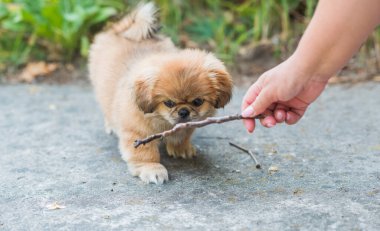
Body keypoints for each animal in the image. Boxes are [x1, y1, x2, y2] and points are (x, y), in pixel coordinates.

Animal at [88, 2, 232, 184]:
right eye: (168, 103)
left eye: (198, 102)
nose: (183, 111)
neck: (163, 121)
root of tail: (121, 29)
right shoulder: (137, 133)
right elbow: (146, 154)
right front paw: (152, 169)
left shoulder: (187, 126)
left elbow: (182, 136)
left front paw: (180, 148)